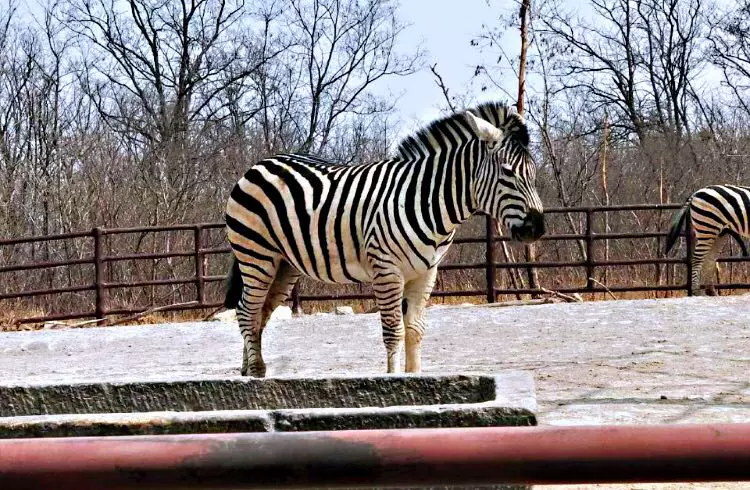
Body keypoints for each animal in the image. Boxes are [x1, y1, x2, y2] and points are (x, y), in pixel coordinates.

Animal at [223, 101, 548, 378]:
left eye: (533, 174)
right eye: (507, 173)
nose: (538, 229)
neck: (426, 200)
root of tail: (260, 164)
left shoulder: (426, 273)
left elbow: (415, 329)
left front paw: (414, 377)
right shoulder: (386, 269)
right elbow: (394, 330)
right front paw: (392, 381)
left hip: (284, 265)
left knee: (259, 312)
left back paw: (250, 369)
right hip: (256, 255)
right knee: (246, 310)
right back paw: (255, 372)